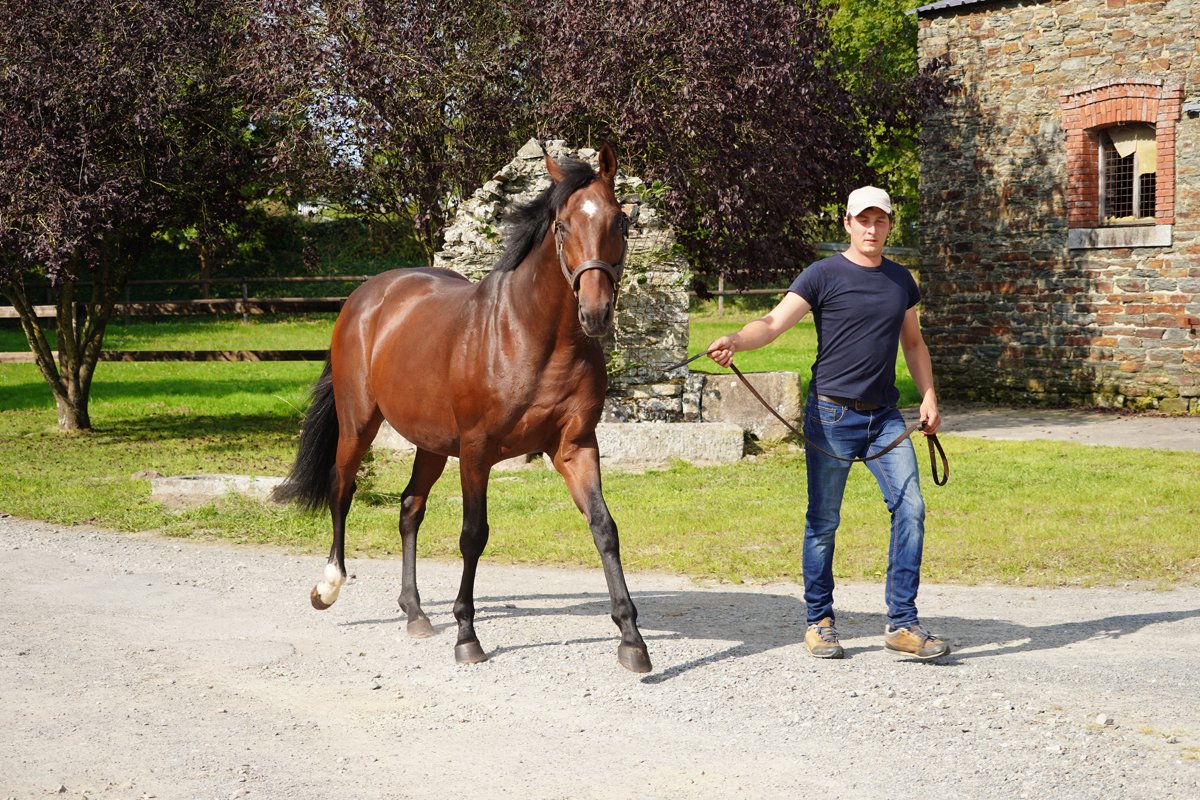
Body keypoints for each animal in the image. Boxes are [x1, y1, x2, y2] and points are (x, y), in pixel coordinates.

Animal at [273, 143, 652, 673]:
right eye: (562, 225)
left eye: (620, 221)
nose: (595, 314)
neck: (530, 336)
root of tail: (367, 296)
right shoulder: (476, 451)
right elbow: (473, 534)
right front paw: (467, 636)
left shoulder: (576, 447)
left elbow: (605, 528)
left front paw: (632, 639)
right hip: (358, 424)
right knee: (341, 489)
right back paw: (327, 587)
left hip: (431, 444)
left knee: (409, 507)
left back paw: (414, 612)